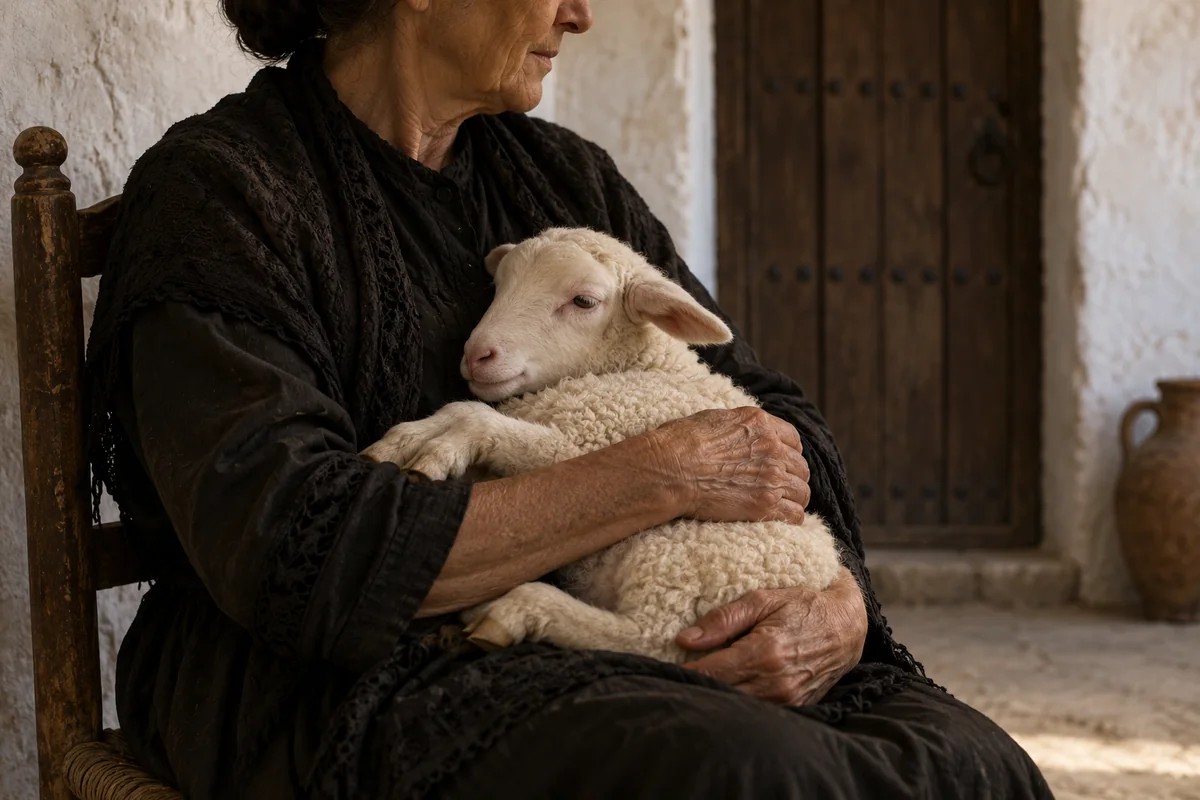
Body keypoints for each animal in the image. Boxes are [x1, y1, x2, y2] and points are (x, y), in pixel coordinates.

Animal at [362, 227, 843, 664]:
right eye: (499, 287)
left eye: (583, 302)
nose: (477, 355)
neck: (634, 370)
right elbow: (456, 411)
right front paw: (402, 444)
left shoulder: (590, 449)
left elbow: (476, 416)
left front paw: (439, 451)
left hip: (679, 555)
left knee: (650, 639)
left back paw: (514, 610)